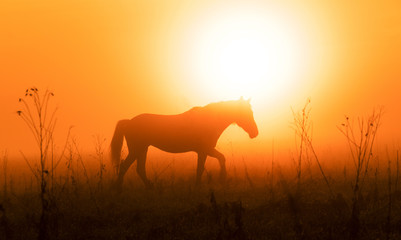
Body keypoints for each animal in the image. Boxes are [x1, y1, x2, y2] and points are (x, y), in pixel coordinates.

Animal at [110, 96, 260, 189]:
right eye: (246, 112)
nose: (255, 133)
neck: (209, 120)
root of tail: (129, 122)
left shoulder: (205, 150)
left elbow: (216, 161)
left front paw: (219, 180)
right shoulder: (205, 150)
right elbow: (205, 166)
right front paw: (209, 183)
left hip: (143, 149)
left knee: (139, 169)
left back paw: (149, 187)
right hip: (136, 149)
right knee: (124, 166)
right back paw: (118, 188)